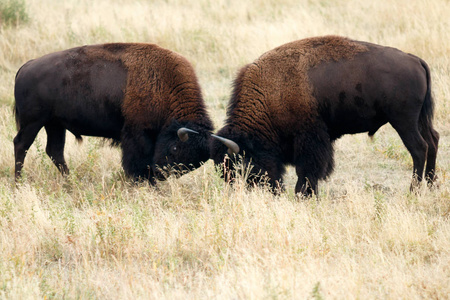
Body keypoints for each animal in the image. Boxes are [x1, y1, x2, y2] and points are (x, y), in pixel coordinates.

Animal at [14, 42, 214, 183]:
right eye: (175, 148)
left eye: (194, 164)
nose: (161, 174)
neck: (164, 84)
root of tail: (27, 66)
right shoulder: (137, 135)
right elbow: (136, 161)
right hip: (33, 122)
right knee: (21, 145)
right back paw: (18, 183)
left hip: (54, 124)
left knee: (55, 151)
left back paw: (70, 182)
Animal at [212, 35, 440, 197]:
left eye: (240, 166)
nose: (264, 192)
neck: (271, 91)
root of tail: (415, 60)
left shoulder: (310, 138)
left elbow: (308, 168)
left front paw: (303, 193)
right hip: (419, 120)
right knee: (433, 141)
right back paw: (432, 185)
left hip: (403, 121)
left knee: (419, 148)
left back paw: (413, 191)